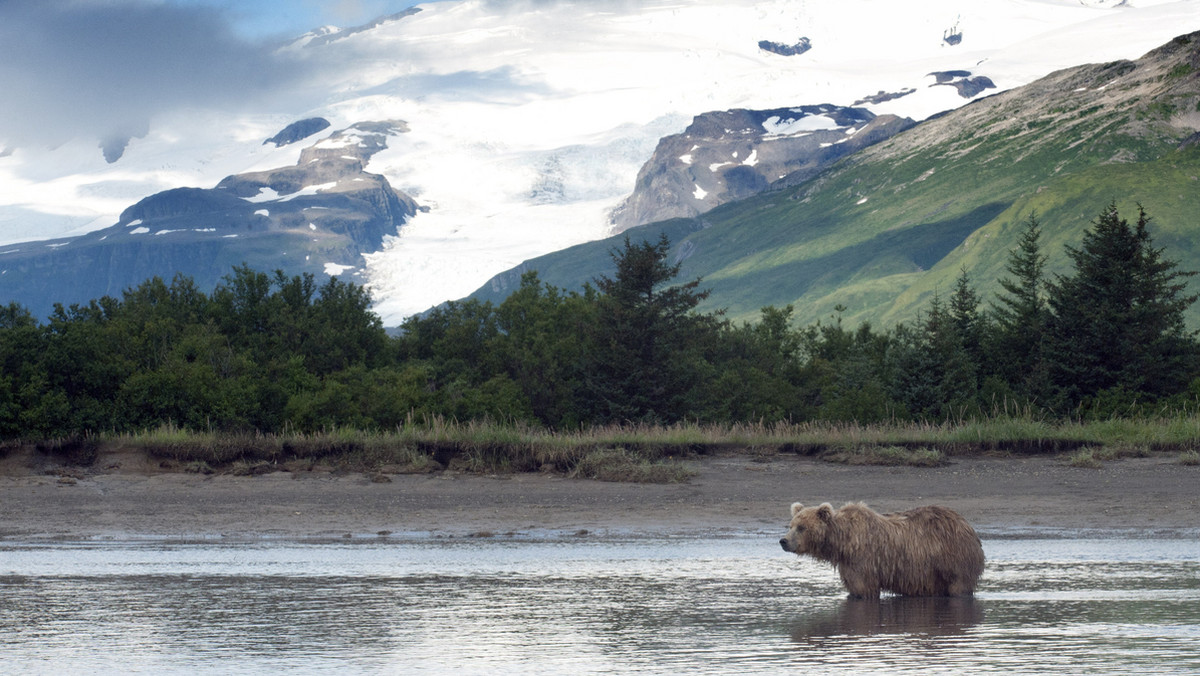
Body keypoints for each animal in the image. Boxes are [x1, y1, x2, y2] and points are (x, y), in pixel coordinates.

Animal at [777, 499, 984, 600]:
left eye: (802, 527)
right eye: (791, 525)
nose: (783, 541)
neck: (842, 543)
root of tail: (967, 525)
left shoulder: (863, 560)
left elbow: (864, 589)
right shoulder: (848, 564)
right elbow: (853, 588)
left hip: (953, 558)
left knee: (959, 586)